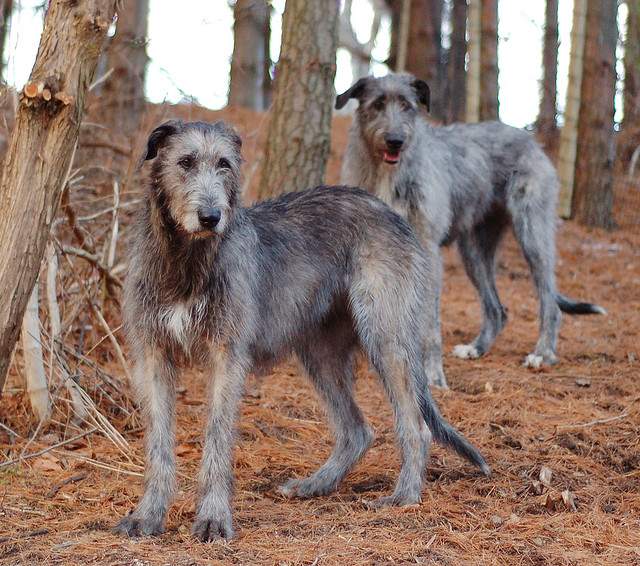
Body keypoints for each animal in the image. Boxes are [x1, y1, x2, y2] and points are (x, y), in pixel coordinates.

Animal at [115, 121, 488, 544]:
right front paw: (148, 515)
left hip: (385, 337)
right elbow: (158, 442)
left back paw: (404, 495)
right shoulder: (152, 355)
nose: (211, 216)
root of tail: (391, 213)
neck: (187, 259)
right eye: (185, 162)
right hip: (319, 352)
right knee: (357, 430)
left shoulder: (228, 356)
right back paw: (316, 484)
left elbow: (217, 437)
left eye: (224, 164)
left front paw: (213, 517)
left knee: (416, 427)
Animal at [338, 74, 604, 378]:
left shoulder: (427, 249)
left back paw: (542, 354)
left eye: (406, 105)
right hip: (474, 250)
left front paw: (432, 374)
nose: (396, 141)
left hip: (533, 235)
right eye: (378, 104)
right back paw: (476, 349)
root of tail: (532, 141)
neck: (388, 173)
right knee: (496, 310)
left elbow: (429, 321)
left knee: (550, 303)